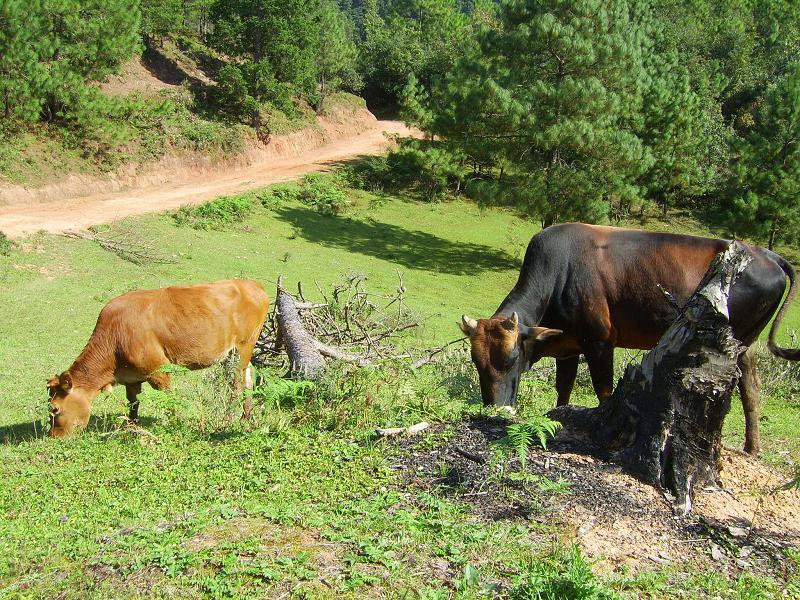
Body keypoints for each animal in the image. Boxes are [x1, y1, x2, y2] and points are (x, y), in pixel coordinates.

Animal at [47, 278, 272, 438]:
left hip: (243, 345)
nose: (53, 436)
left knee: (237, 382)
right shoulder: (132, 378)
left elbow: (169, 399)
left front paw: (174, 423)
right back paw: (247, 417)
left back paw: (230, 416)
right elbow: (133, 404)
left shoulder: (159, 370)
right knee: (248, 379)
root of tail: (252, 284)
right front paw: (132, 428)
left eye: (54, 409)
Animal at [460, 223, 796, 452]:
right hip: (744, 346)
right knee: (750, 389)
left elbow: (604, 390)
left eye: (513, 358)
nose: (496, 410)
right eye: (477, 363)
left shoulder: (599, 343)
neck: (560, 274)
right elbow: (563, 389)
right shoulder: (569, 348)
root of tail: (766, 253)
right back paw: (751, 448)